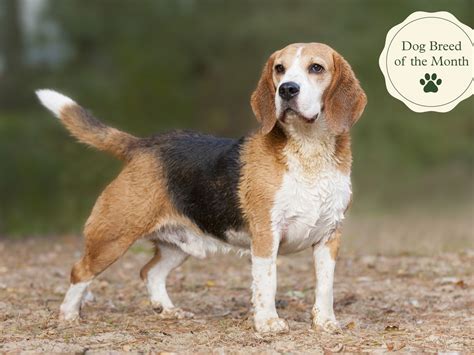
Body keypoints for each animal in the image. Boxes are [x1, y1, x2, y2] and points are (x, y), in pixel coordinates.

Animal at [36, 43, 366, 336]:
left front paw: (325, 323)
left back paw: (168, 310)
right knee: (80, 271)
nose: (286, 89)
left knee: (150, 272)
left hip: (179, 244)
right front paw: (268, 324)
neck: (309, 151)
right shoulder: (265, 236)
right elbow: (267, 282)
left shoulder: (329, 237)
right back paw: (68, 315)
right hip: (112, 237)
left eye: (316, 68)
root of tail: (144, 144)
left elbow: (325, 287)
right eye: (279, 69)